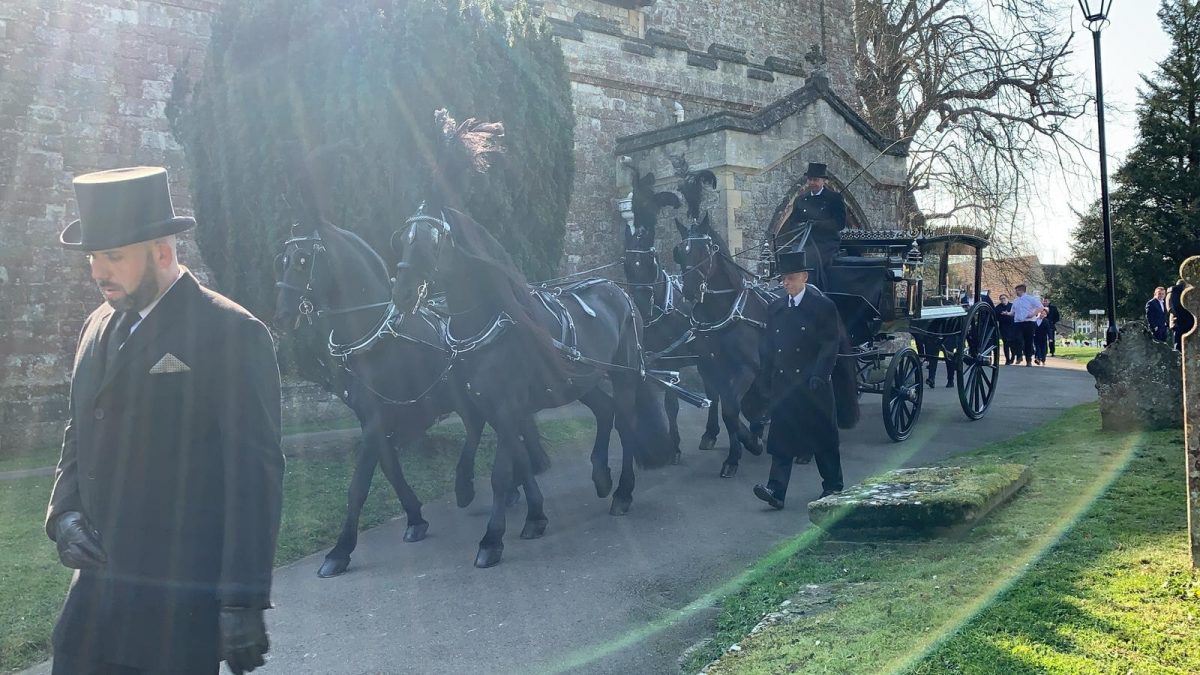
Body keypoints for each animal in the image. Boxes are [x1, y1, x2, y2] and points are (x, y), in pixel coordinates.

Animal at [273, 218, 549, 576]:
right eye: (281, 260)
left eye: (302, 259)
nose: (281, 315)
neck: (374, 338)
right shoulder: (373, 417)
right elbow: (390, 470)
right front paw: (415, 518)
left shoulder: (378, 419)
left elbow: (359, 484)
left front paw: (340, 550)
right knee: (492, 430)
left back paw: (479, 488)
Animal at [393, 112, 676, 564]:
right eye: (403, 237)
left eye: (432, 241)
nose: (402, 294)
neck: (487, 322)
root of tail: (618, 291)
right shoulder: (497, 408)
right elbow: (520, 464)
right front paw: (535, 517)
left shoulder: (508, 406)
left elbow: (501, 472)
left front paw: (492, 539)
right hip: (582, 379)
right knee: (606, 412)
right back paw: (600, 475)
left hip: (625, 372)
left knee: (626, 421)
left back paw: (622, 492)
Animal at [628, 168, 720, 456]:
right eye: (627, 263)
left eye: (650, 260)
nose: (640, 301)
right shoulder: (654, 362)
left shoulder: (673, 361)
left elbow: (672, 403)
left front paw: (674, 446)